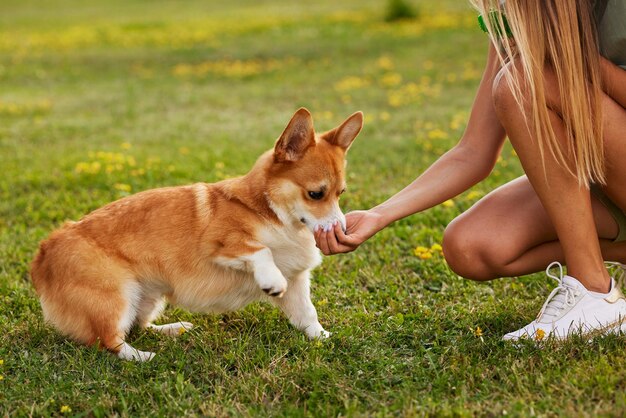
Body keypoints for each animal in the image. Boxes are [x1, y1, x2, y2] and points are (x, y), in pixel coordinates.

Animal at [30, 109, 360, 360]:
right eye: (315, 194)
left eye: (341, 193)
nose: (344, 232)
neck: (273, 213)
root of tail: (44, 252)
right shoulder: (218, 244)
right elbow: (260, 251)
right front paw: (270, 280)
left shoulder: (297, 280)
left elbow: (307, 314)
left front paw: (323, 337)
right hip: (116, 297)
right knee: (109, 341)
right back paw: (142, 357)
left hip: (148, 296)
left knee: (138, 326)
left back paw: (172, 329)